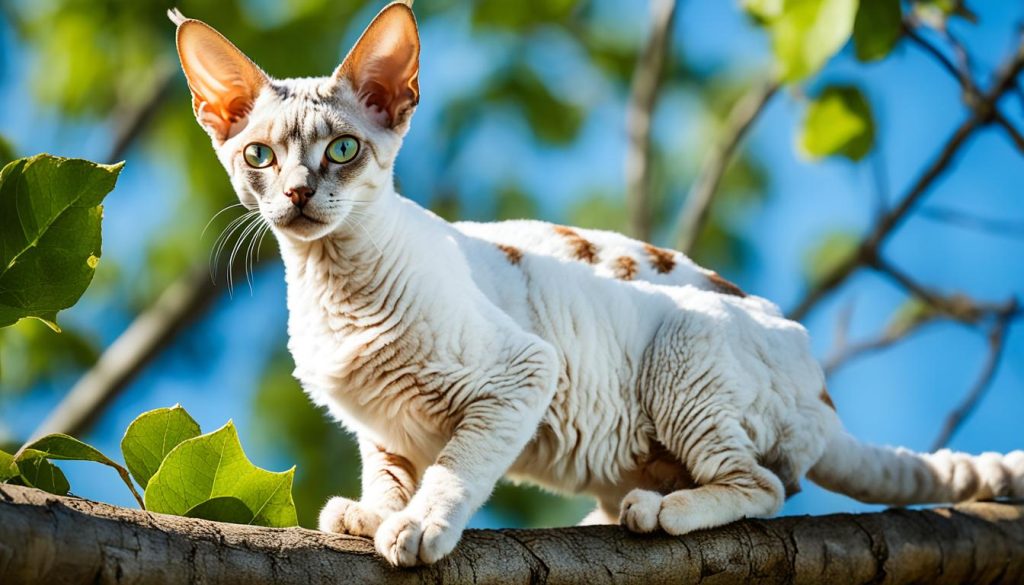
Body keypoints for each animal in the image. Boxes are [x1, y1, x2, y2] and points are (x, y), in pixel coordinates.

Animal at [169, 0, 1024, 569]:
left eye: (343, 150)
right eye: (258, 156)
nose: (298, 195)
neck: (333, 286)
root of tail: (821, 385)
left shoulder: (524, 371)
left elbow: (456, 464)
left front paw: (418, 525)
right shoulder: (382, 428)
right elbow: (388, 471)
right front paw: (373, 512)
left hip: (684, 357)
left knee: (761, 483)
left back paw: (662, 509)